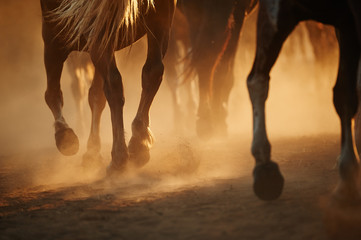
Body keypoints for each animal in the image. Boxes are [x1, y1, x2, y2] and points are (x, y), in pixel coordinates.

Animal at [40, 0, 176, 174]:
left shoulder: (53, 37)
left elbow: (52, 93)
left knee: (113, 84)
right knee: (152, 72)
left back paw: (119, 157)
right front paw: (92, 152)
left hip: (97, 31)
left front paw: (64, 136)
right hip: (160, 17)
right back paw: (139, 143)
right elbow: (96, 97)